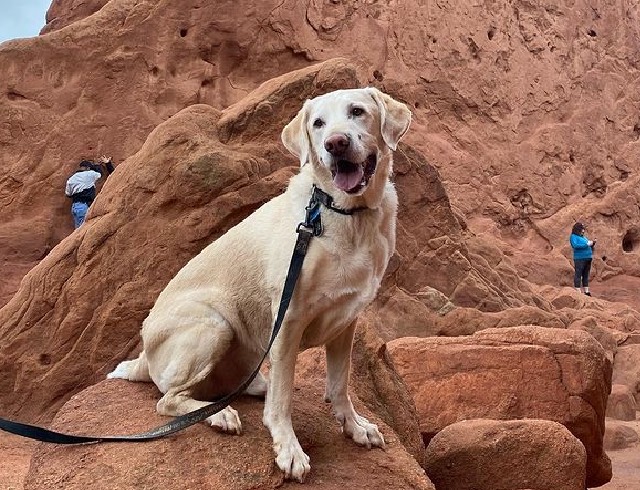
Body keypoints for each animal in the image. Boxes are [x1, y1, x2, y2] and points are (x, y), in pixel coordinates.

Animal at [109, 86, 410, 480]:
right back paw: (220, 415)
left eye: (357, 111)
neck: (344, 213)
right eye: (318, 123)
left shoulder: (347, 319)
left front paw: (355, 426)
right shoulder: (289, 317)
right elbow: (281, 404)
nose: (336, 143)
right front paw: (289, 450)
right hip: (214, 324)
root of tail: (143, 357)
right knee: (168, 399)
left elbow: (340, 383)